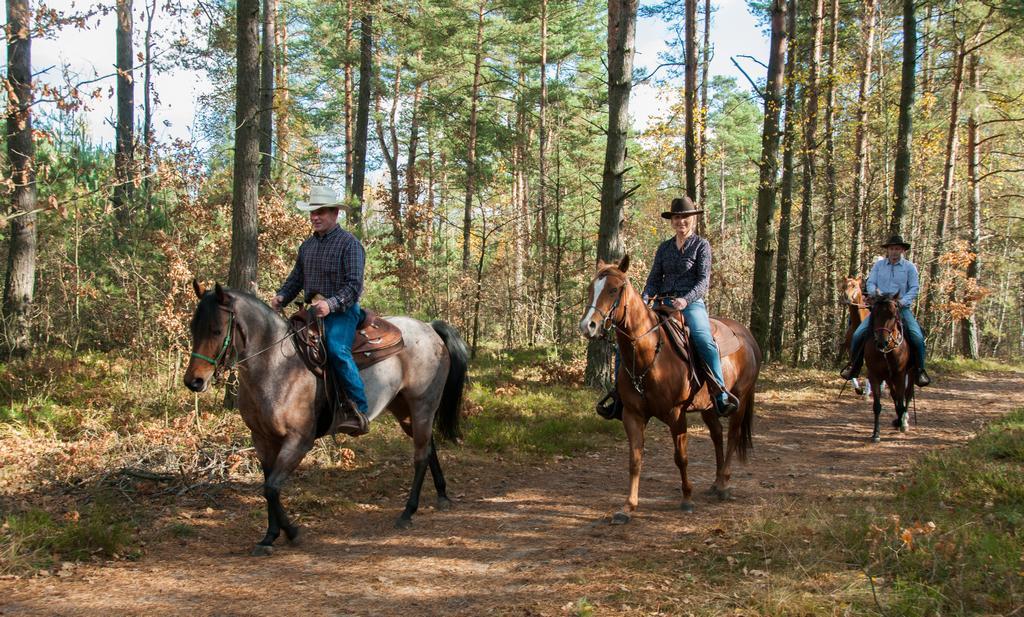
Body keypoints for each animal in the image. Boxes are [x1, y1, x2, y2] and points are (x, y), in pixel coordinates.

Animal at [184, 282, 468, 556]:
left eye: (216, 330)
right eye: (192, 328)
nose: (193, 381)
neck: (276, 366)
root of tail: (429, 328)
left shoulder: (298, 441)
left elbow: (272, 488)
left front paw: (292, 533)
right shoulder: (262, 440)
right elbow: (268, 487)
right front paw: (269, 537)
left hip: (423, 405)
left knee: (420, 455)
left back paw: (408, 512)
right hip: (404, 410)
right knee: (429, 446)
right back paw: (442, 495)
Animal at [577, 255, 761, 521]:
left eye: (613, 289)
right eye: (592, 289)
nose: (587, 326)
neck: (649, 355)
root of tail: (748, 336)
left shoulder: (676, 415)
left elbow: (681, 458)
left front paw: (686, 499)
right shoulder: (632, 415)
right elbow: (635, 459)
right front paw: (628, 506)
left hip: (741, 399)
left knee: (733, 435)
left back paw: (724, 485)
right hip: (708, 406)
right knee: (717, 435)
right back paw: (716, 483)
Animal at [864, 292, 913, 442]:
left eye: (893, 315)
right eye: (874, 313)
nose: (881, 342)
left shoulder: (900, 375)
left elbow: (902, 400)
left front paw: (902, 424)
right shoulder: (874, 375)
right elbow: (877, 406)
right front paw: (876, 433)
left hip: (911, 373)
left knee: (907, 395)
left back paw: (903, 421)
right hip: (888, 378)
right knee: (894, 394)